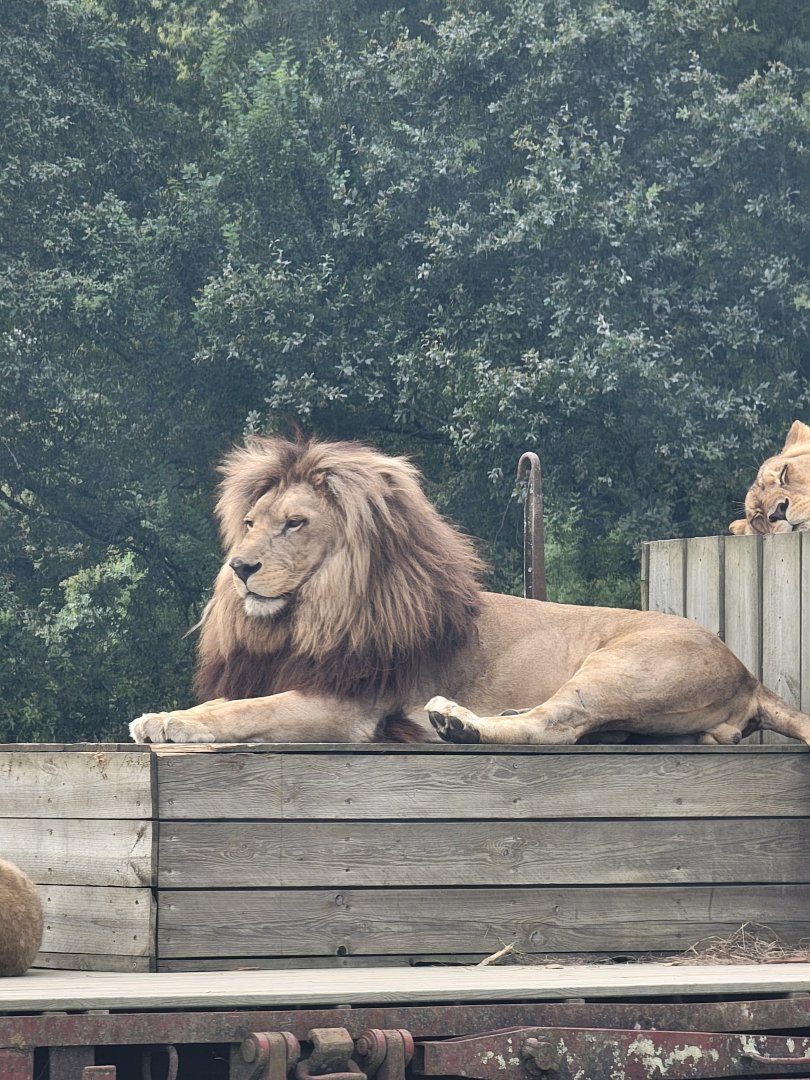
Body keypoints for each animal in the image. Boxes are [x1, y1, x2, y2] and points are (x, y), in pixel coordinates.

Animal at [130, 436, 810, 748]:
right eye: (249, 523)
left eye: (293, 524)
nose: (240, 568)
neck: (312, 611)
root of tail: (747, 672)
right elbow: (233, 703)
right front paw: (163, 714)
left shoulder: (346, 708)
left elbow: (246, 712)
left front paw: (167, 723)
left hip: (621, 669)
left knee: (555, 727)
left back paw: (458, 723)